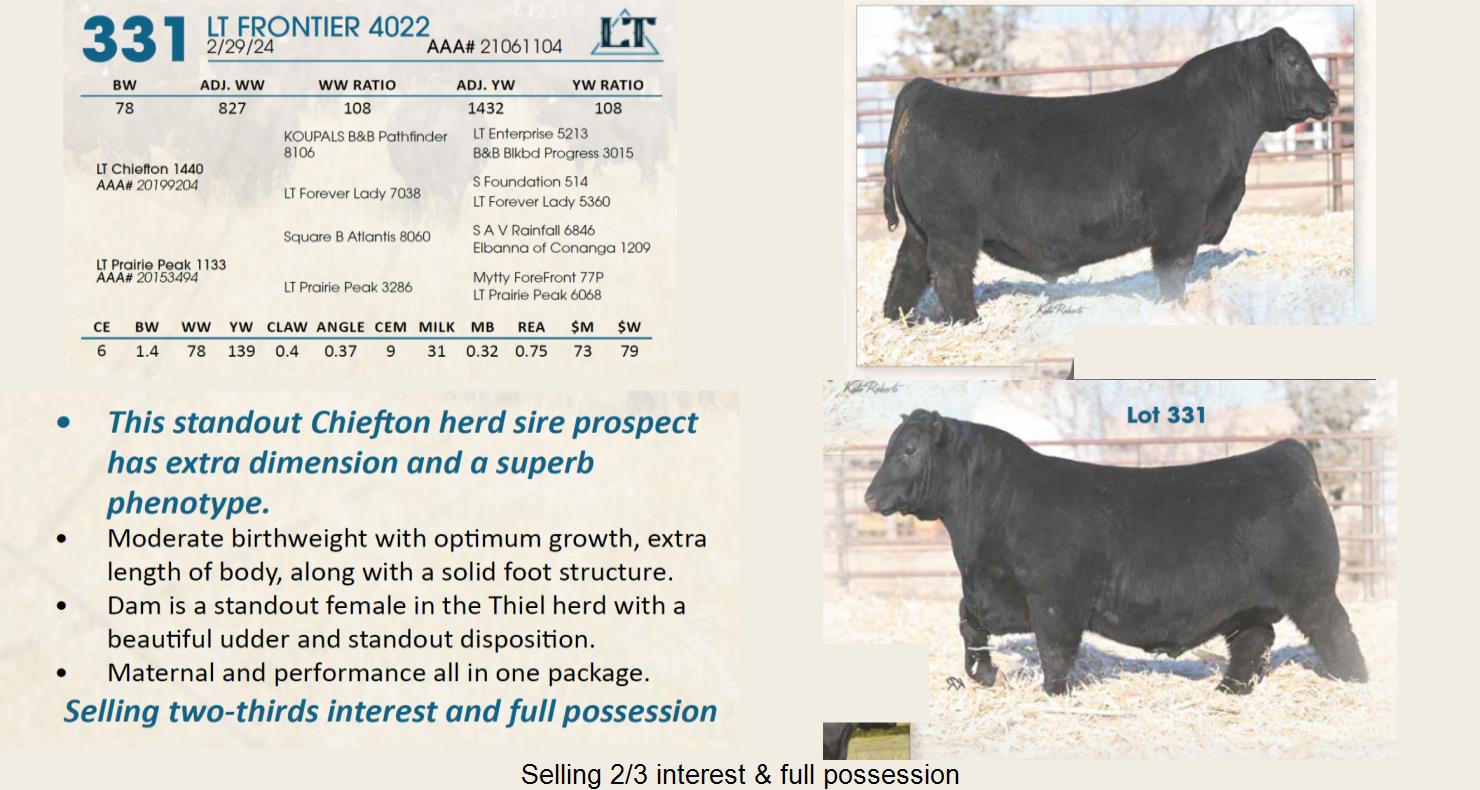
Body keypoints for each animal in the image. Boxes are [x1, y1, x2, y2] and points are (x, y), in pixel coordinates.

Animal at [863, 410, 1367, 695]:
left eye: (909, 449)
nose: (869, 497)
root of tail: (1287, 453)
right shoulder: (994, 592)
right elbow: (968, 622)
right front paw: (982, 673)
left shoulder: (1053, 600)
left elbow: (1054, 651)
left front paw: (1054, 695)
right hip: (1249, 606)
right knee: (1252, 643)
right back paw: (1228, 692)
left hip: (1313, 593)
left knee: (1337, 633)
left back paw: (1355, 683)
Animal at [880, 28, 1340, 323]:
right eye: (1295, 62)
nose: (1333, 97)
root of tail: (926, 89)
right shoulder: (1182, 218)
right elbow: (1173, 270)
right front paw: (1176, 310)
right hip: (951, 231)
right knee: (950, 275)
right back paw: (970, 322)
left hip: (921, 231)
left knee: (906, 274)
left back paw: (897, 320)